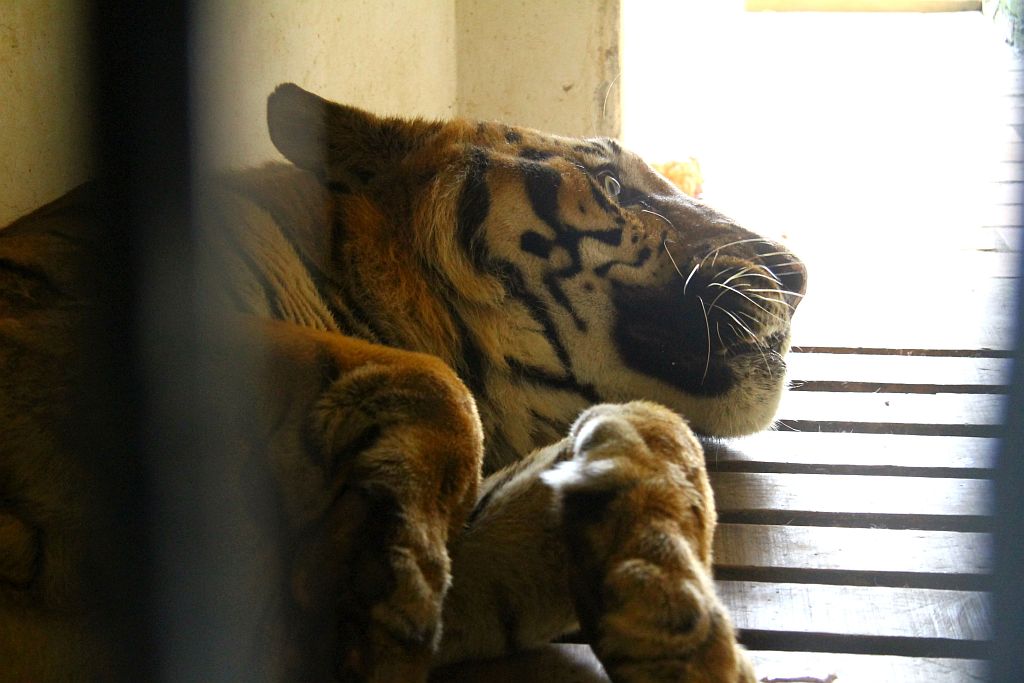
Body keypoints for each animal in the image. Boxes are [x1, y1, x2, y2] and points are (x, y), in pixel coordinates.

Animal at [0, 83, 806, 681]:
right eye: (611, 185)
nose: (798, 274)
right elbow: (434, 381)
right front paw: (391, 601)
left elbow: (651, 425)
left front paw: (678, 629)